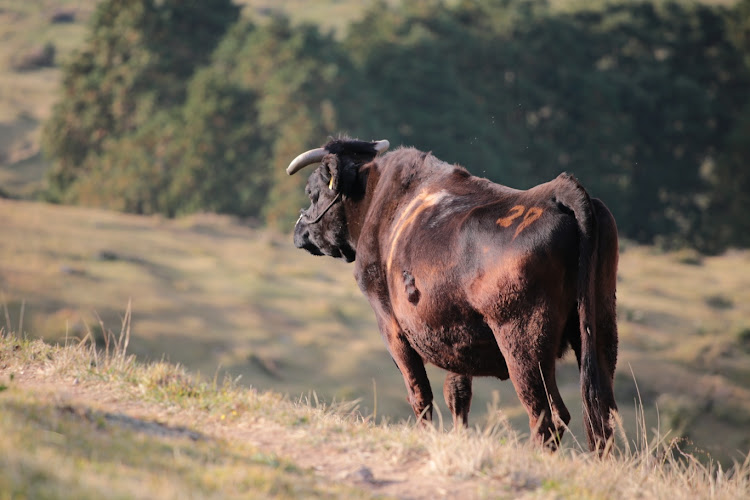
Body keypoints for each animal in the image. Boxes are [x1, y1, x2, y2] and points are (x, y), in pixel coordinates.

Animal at [284, 138, 620, 454]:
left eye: (312, 191)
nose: (298, 230)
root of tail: (555, 190)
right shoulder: (454, 335)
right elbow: (457, 396)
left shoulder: (391, 326)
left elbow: (420, 393)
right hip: (600, 330)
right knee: (601, 414)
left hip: (523, 341)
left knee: (549, 415)